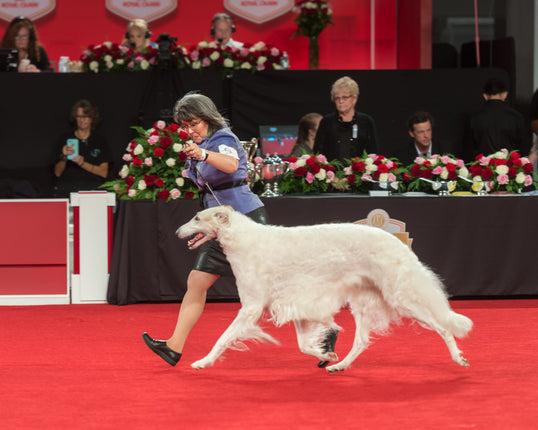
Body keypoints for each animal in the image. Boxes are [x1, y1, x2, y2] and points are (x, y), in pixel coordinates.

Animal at [176, 206, 473, 373]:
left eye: (196, 217)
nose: (178, 232)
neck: (245, 239)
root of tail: (398, 244)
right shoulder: (296, 305)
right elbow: (304, 345)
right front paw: (326, 354)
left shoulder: (251, 307)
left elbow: (223, 338)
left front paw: (203, 361)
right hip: (363, 303)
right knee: (362, 341)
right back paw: (340, 366)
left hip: (402, 299)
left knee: (443, 326)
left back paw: (459, 358)